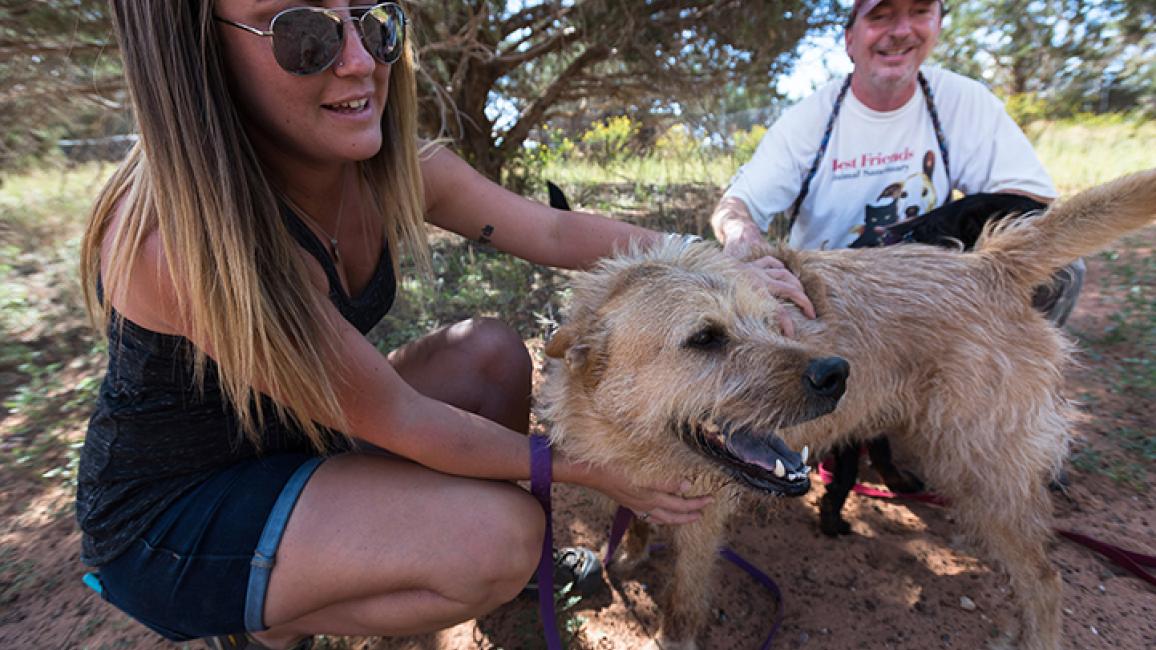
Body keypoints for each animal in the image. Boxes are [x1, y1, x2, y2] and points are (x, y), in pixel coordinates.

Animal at [538, 167, 1156, 647]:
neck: (635, 438)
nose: (835, 373)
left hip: (979, 464)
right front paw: (629, 555)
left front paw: (675, 634)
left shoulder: (700, 519)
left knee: (1046, 578)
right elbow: (634, 525)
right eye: (705, 338)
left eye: (772, 321)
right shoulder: (633, 485)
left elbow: (685, 595)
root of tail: (989, 265)